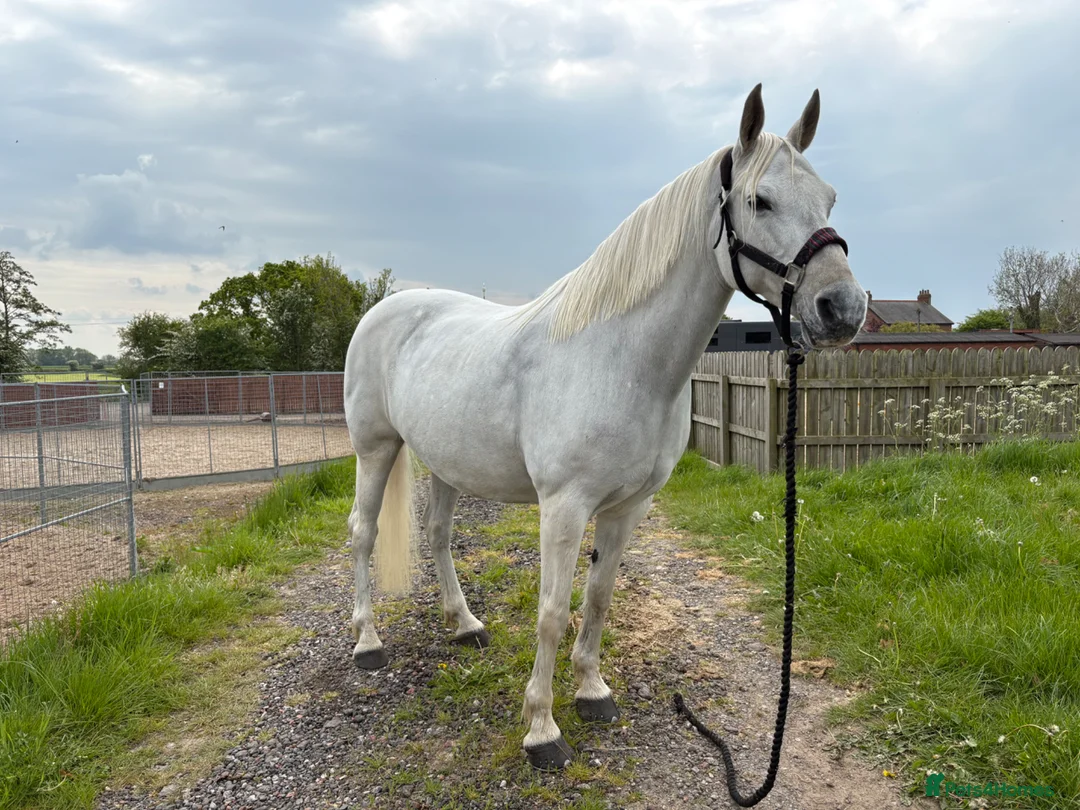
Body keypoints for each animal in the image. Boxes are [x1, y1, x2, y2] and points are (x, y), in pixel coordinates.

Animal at [342, 83, 868, 771]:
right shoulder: (564, 507)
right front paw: (542, 729)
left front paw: (592, 691)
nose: (843, 309)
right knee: (364, 533)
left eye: (829, 197)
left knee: (436, 537)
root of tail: (386, 309)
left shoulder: (628, 507)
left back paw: (465, 625)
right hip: (375, 449)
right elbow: (551, 611)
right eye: (760, 200)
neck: (620, 359)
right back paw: (368, 643)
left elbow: (597, 597)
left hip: (448, 462)